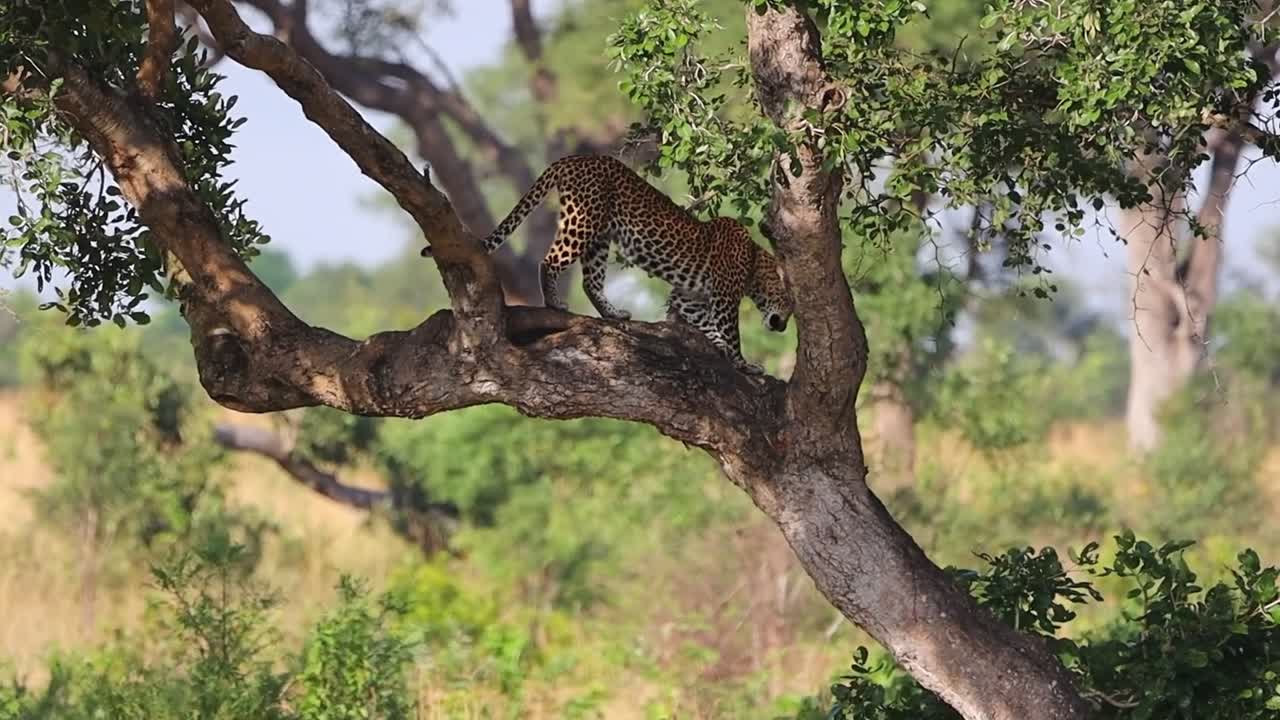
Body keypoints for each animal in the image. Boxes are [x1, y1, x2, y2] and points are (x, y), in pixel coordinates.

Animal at [457, 154, 792, 374]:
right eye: (789, 302)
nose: (783, 327)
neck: (754, 261)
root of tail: (574, 157)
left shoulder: (689, 297)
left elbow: (707, 324)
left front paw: (719, 347)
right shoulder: (724, 298)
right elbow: (731, 332)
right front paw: (744, 364)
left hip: (600, 236)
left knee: (590, 281)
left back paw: (613, 313)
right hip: (584, 221)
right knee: (550, 260)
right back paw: (555, 303)